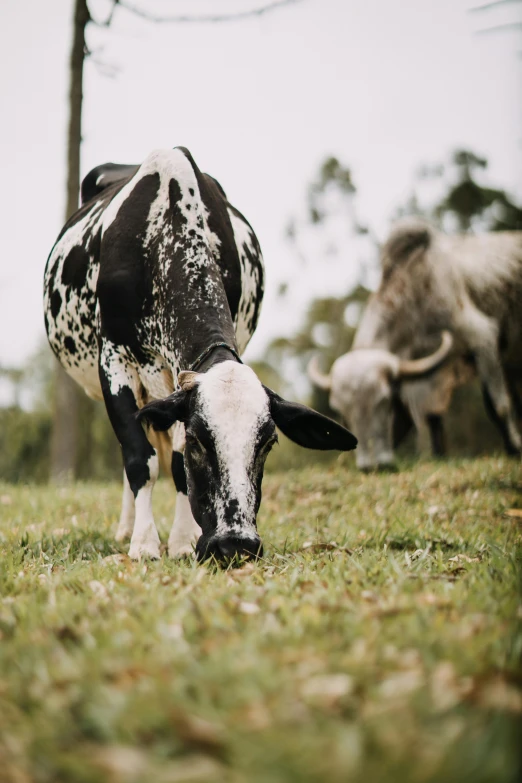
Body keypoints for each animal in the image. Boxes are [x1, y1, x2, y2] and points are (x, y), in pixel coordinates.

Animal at [44, 147, 356, 560]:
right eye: (199, 440)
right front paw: (144, 542)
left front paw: (181, 540)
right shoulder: (114, 360)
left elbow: (176, 466)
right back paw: (127, 528)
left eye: (268, 443)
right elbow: (139, 457)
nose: (235, 543)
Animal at [308, 217, 520, 468]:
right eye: (340, 410)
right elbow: (430, 418)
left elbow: (499, 406)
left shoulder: (483, 339)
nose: (372, 466)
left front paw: (514, 449)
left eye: (384, 401)